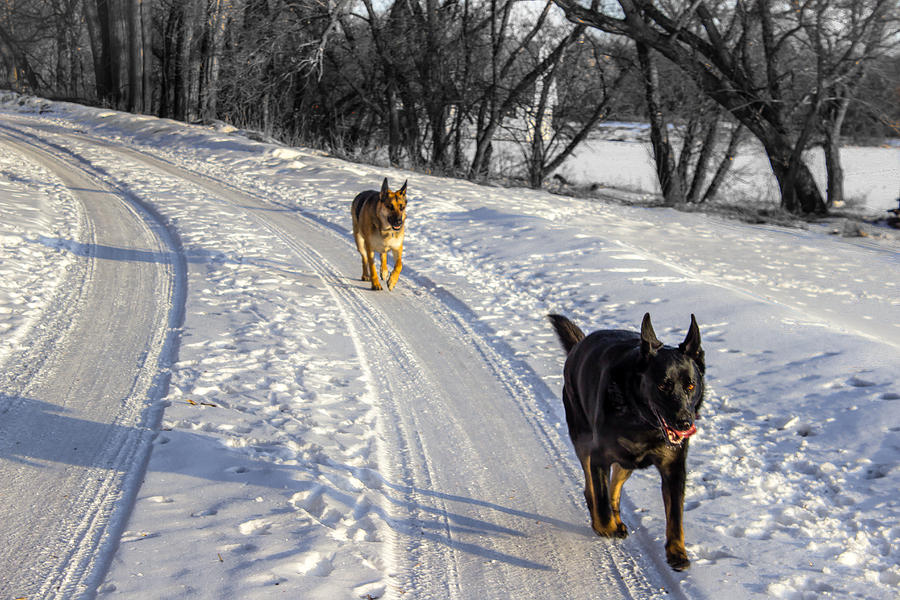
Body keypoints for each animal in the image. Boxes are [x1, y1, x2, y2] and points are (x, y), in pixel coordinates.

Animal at [544, 312, 708, 568]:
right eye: (663, 385)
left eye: (690, 385)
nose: (684, 423)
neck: (641, 419)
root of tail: (580, 344)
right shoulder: (599, 457)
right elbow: (600, 498)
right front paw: (604, 526)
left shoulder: (674, 469)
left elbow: (675, 515)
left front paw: (677, 551)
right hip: (583, 439)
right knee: (591, 487)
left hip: (626, 461)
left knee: (615, 487)